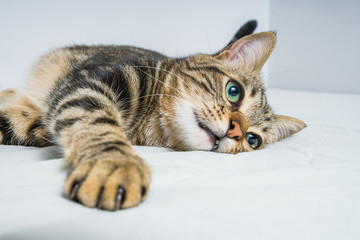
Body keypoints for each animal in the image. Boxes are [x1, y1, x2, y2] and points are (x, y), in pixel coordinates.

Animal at [0, 21, 304, 211]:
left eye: (252, 141)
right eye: (234, 91)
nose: (236, 132)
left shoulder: (31, 122)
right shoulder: (88, 84)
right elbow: (100, 122)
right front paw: (114, 165)